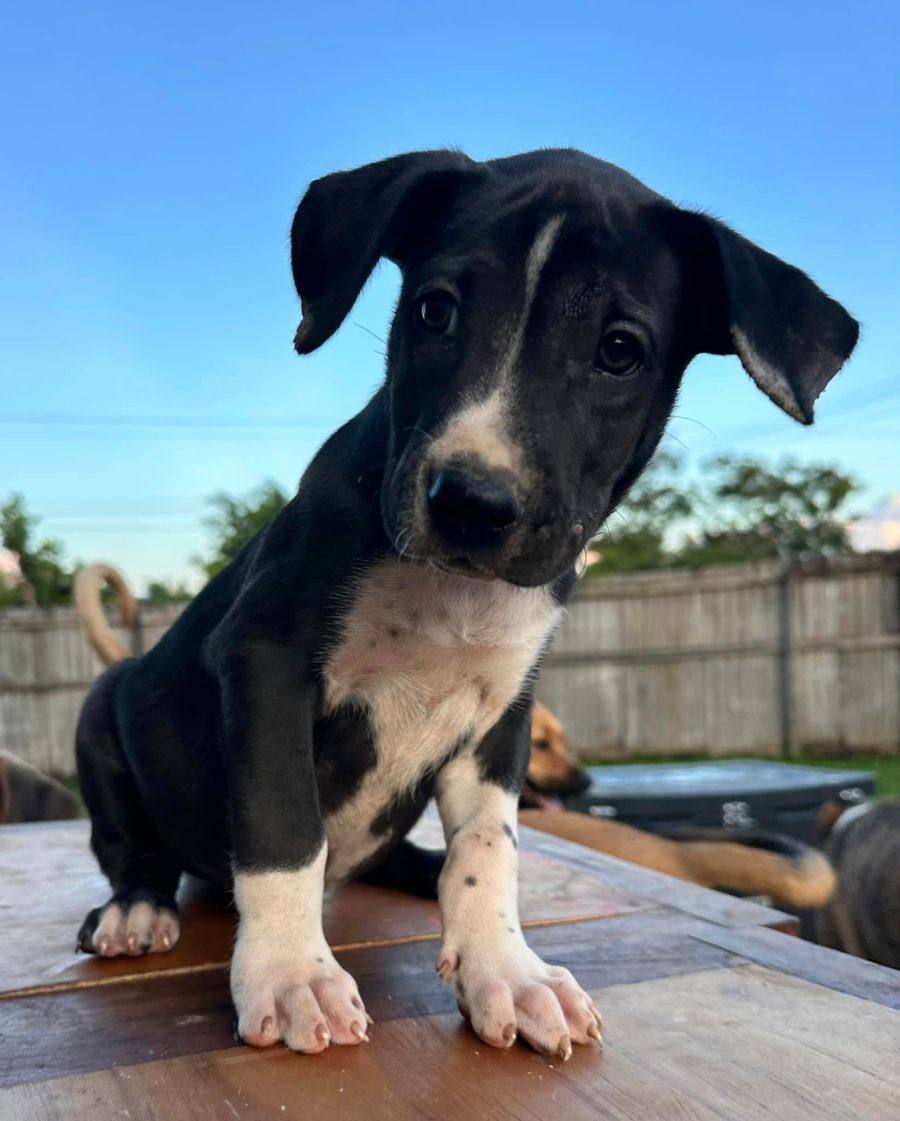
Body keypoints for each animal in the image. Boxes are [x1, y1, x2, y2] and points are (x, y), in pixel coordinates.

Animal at [73, 148, 857, 1061]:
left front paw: (506, 970)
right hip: (105, 709)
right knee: (133, 847)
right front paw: (293, 972)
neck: (457, 591)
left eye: (619, 350)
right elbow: (283, 829)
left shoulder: (500, 714)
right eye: (435, 310)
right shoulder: (265, 660)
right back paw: (136, 907)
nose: (472, 503)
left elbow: (488, 851)